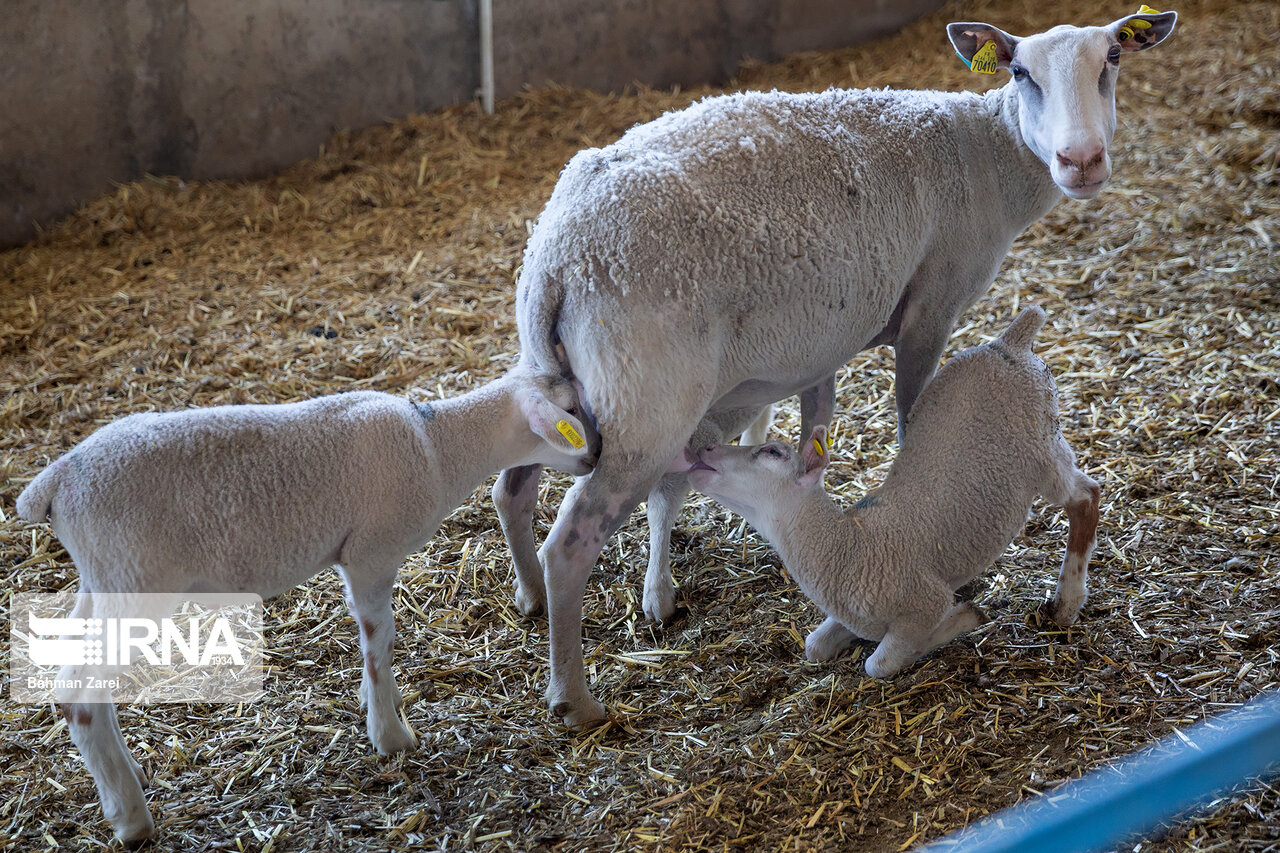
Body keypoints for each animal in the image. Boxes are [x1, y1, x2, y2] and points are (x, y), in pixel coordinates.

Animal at [15, 366, 593, 845]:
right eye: (570, 408)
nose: (597, 453)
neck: (438, 443)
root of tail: (56, 482)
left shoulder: (353, 559)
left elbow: (373, 637)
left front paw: (380, 703)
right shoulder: (370, 552)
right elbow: (380, 637)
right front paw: (389, 735)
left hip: (101, 580)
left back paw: (127, 777)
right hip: (136, 579)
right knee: (79, 692)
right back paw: (131, 817)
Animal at [686, 303, 1095, 671]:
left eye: (772, 452)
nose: (705, 449)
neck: (851, 547)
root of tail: (1008, 342)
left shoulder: (925, 601)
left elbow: (879, 663)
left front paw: (962, 619)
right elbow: (814, 645)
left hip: (1042, 446)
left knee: (1086, 495)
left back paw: (1066, 603)